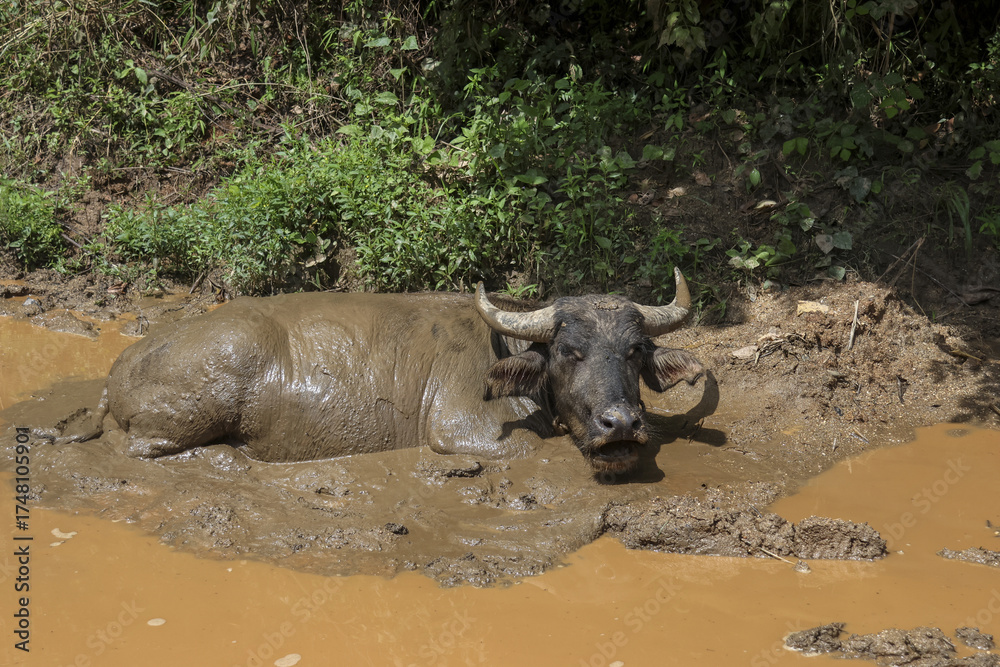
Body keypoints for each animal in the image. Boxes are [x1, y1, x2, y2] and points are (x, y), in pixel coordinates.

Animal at [65, 270, 704, 474]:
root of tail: (120, 368)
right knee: (137, 447)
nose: (620, 424)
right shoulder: (465, 431)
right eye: (570, 351)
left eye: (635, 351)